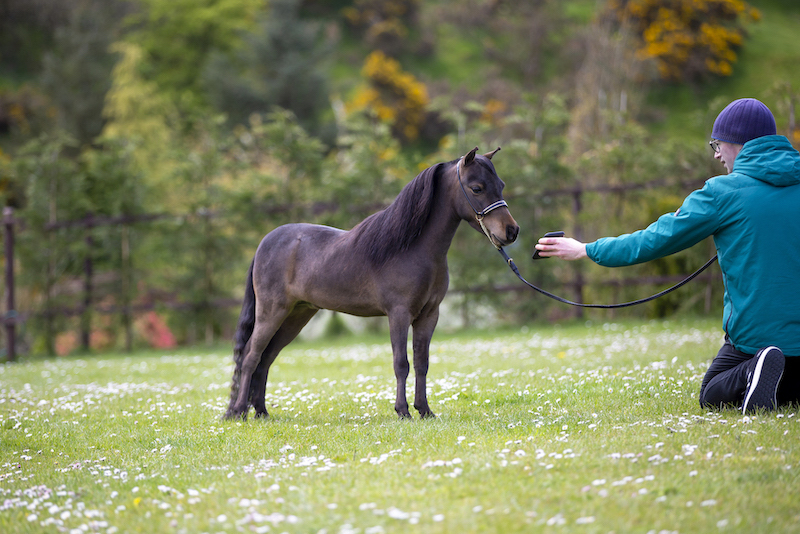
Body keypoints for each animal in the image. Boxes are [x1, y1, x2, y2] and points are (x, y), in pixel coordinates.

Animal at [224, 146, 519, 420]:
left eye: (501, 185)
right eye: (477, 188)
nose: (512, 231)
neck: (413, 248)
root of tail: (265, 243)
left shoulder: (428, 316)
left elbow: (421, 363)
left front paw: (424, 410)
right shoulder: (399, 314)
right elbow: (401, 363)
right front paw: (403, 411)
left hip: (296, 316)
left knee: (266, 358)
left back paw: (261, 411)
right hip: (272, 312)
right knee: (250, 356)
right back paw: (238, 411)